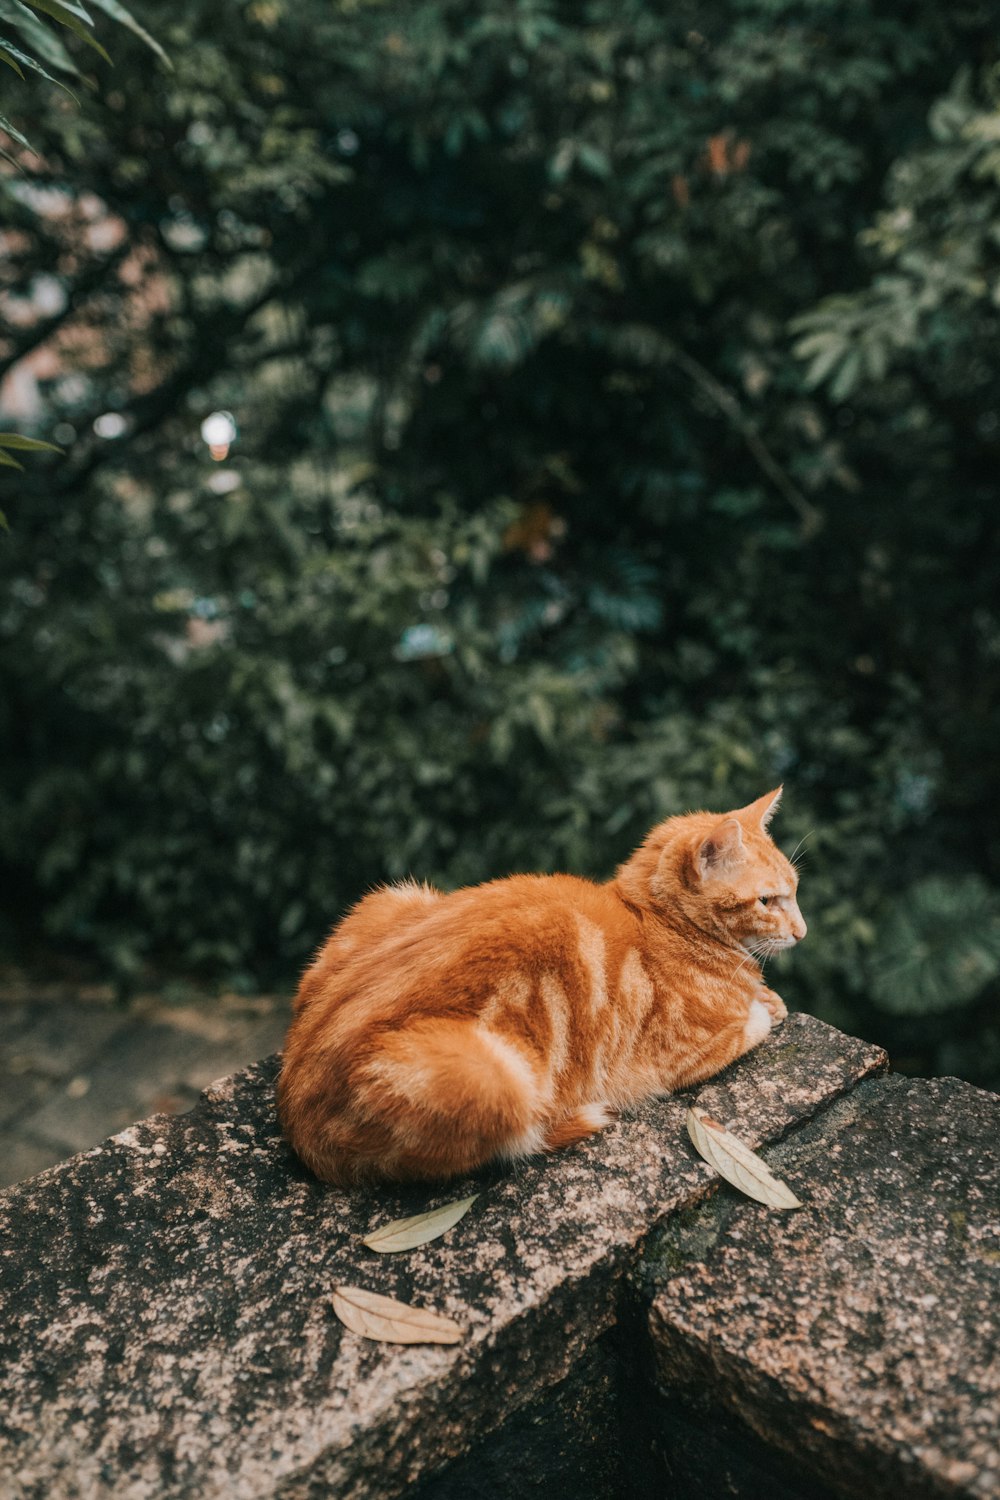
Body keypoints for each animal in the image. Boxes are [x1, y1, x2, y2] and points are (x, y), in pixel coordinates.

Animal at [277, 786, 809, 1182]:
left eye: (795, 892)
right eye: (767, 901)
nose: (803, 932)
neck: (658, 922)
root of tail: (292, 1107)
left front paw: (766, 994)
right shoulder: (683, 1054)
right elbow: (753, 1024)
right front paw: (764, 1005)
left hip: (395, 894)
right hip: (493, 1076)